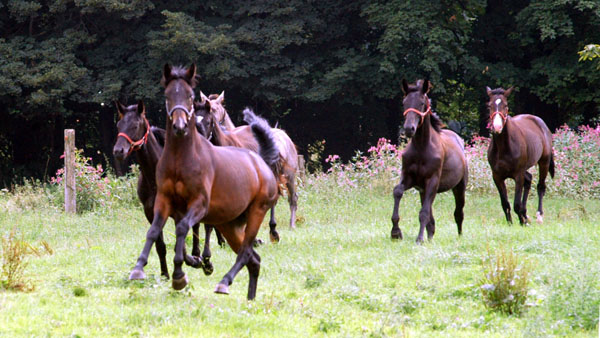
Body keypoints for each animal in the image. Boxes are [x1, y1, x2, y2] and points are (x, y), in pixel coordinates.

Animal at [111, 99, 217, 278]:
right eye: (119, 125)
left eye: (135, 125)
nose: (119, 151)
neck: (155, 178)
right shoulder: (151, 213)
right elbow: (160, 245)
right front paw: (165, 275)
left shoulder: (178, 213)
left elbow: (180, 245)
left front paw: (193, 261)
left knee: (207, 227)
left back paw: (206, 260)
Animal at [129, 64, 278, 300]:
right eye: (167, 95)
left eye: (190, 95)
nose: (180, 126)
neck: (181, 159)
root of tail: (260, 163)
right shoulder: (163, 201)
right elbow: (154, 231)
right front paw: (138, 268)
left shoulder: (198, 205)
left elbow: (183, 228)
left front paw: (180, 274)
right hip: (229, 224)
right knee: (253, 259)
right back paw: (249, 298)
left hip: (257, 212)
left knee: (246, 252)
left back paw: (224, 282)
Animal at [390, 79, 468, 243]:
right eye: (404, 102)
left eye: (421, 103)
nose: (409, 129)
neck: (422, 147)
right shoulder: (409, 178)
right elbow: (398, 191)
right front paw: (395, 232)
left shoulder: (432, 180)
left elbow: (424, 212)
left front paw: (419, 239)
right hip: (423, 190)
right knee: (432, 218)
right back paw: (431, 236)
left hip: (459, 187)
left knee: (458, 212)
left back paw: (459, 236)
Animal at [486, 87, 556, 224]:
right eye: (489, 105)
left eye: (506, 105)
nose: (497, 127)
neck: (504, 148)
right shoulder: (497, 176)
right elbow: (505, 204)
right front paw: (512, 222)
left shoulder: (518, 175)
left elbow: (516, 204)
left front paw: (523, 222)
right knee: (528, 180)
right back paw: (525, 214)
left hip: (544, 162)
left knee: (541, 187)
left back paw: (539, 215)